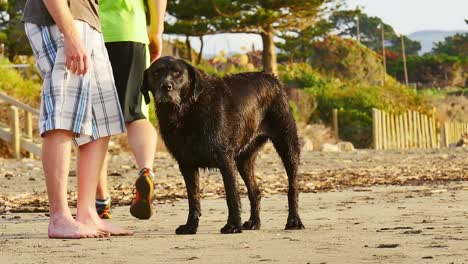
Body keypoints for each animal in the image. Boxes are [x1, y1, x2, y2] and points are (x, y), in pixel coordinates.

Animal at [141, 56, 306, 234]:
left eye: (178, 73)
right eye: (156, 72)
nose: (166, 87)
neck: (187, 110)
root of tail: (271, 77)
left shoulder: (225, 160)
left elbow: (231, 195)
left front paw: (233, 225)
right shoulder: (186, 165)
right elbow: (193, 198)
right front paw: (190, 226)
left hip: (287, 146)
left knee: (293, 187)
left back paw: (294, 220)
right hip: (243, 161)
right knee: (255, 191)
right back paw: (254, 222)